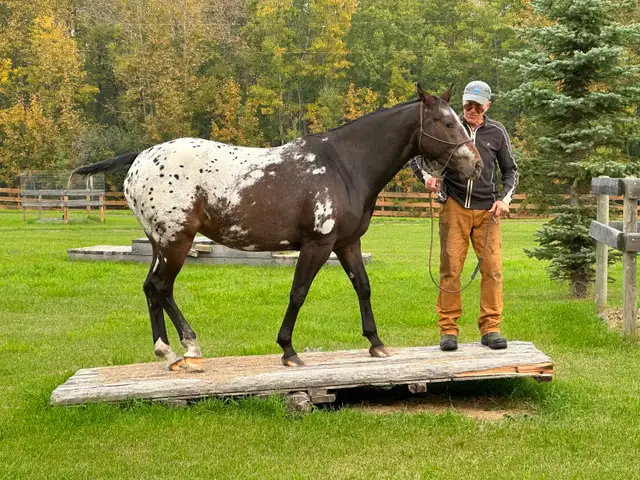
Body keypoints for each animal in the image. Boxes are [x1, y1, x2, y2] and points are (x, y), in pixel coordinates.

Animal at [72, 84, 482, 371]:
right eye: (448, 123)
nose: (476, 165)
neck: (344, 165)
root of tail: (141, 156)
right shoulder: (318, 244)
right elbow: (298, 293)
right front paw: (288, 350)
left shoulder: (347, 243)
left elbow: (363, 288)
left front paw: (375, 343)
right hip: (176, 242)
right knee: (161, 287)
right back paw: (185, 348)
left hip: (162, 244)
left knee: (152, 289)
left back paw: (170, 352)